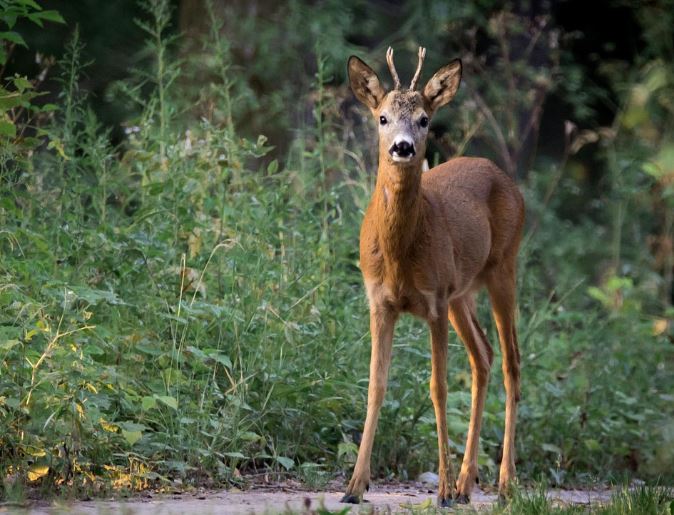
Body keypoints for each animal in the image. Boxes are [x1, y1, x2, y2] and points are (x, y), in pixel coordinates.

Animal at [340, 47, 525, 507]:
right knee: (484, 356)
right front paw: (354, 486)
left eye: (424, 119)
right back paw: (465, 483)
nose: (404, 147)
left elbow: (438, 388)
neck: (399, 256)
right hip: (463, 293)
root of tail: (504, 176)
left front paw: (439, 489)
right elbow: (376, 385)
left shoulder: (434, 300)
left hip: (503, 268)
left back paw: (504, 483)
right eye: (382, 117)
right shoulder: (379, 301)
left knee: (511, 361)